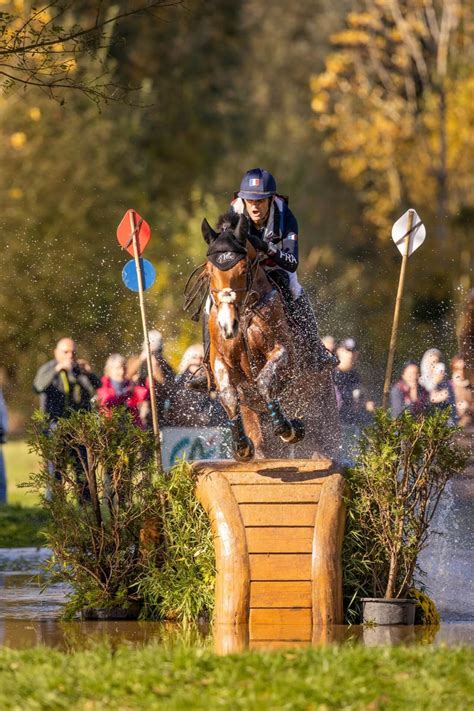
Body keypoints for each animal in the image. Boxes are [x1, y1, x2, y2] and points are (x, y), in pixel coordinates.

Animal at [197, 211, 340, 462]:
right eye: (209, 271)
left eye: (243, 269)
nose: (227, 326)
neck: (245, 311)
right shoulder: (221, 362)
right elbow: (228, 395)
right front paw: (241, 446)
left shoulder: (284, 353)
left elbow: (264, 381)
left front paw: (289, 429)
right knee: (263, 444)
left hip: (323, 407)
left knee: (327, 442)